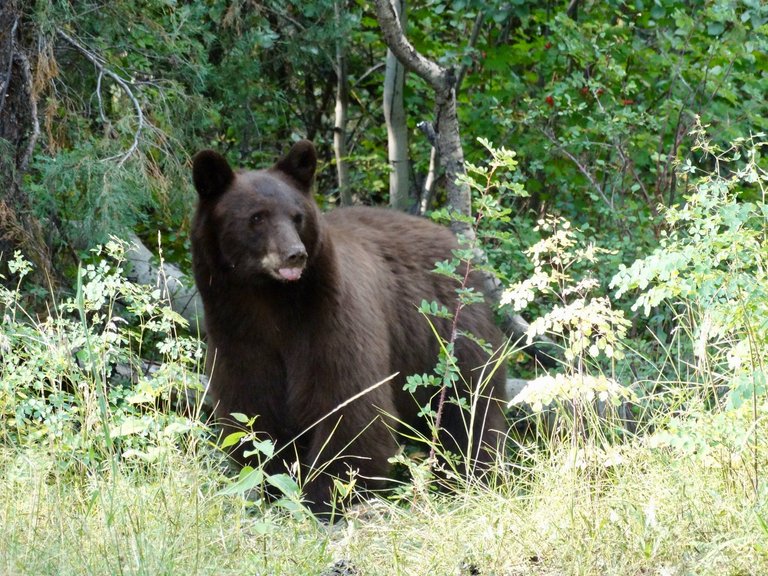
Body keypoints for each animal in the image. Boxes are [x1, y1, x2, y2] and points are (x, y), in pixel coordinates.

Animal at [190, 141, 508, 512]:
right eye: (256, 217)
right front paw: (274, 486)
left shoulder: (329, 320)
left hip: (452, 340)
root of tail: (456, 244)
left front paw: (325, 497)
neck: (270, 301)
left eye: (297, 216)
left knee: (470, 409)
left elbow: (347, 404)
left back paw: (471, 478)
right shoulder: (236, 333)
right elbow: (253, 410)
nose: (295, 254)